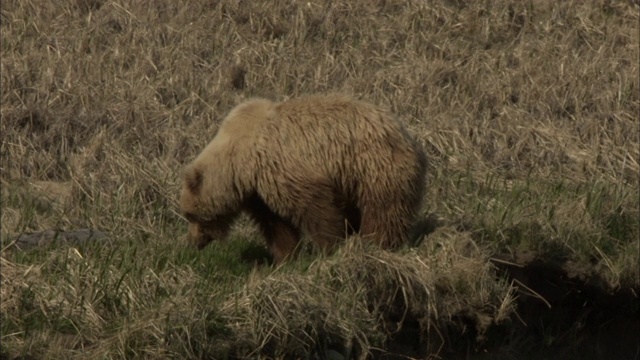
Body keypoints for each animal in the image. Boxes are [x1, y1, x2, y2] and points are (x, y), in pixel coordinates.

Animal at [180, 94, 428, 264]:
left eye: (190, 215)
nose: (192, 242)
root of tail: (409, 137)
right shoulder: (259, 192)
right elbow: (276, 224)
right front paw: (283, 258)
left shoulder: (281, 167)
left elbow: (316, 209)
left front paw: (329, 248)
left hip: (374, 167)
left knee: (383, 211)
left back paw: (378, 243)